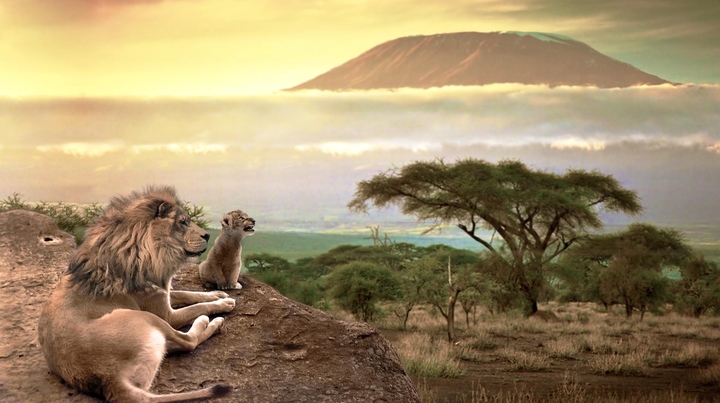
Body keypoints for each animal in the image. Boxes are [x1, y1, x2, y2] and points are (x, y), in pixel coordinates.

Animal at [38, 186, 236, 403]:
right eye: (183, 222)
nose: (208, 236)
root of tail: (110, 380)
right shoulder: (166, 314)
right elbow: (197, 306)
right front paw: (224, 303)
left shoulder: (161, 292)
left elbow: (189, 294)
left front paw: (217, 293)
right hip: (143, 316)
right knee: (187, 341)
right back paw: (210, 322)